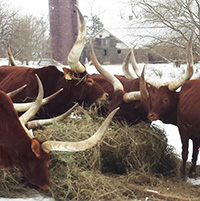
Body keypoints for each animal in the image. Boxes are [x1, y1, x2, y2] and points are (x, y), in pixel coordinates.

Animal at [145, 32, 200, 177]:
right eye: (155, 97)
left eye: (165, 99)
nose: (151, 115)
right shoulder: (193, 134)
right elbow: (193, 152)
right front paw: (191, 172)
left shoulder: (184, 130)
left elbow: (186, 152)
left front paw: (183, 173)